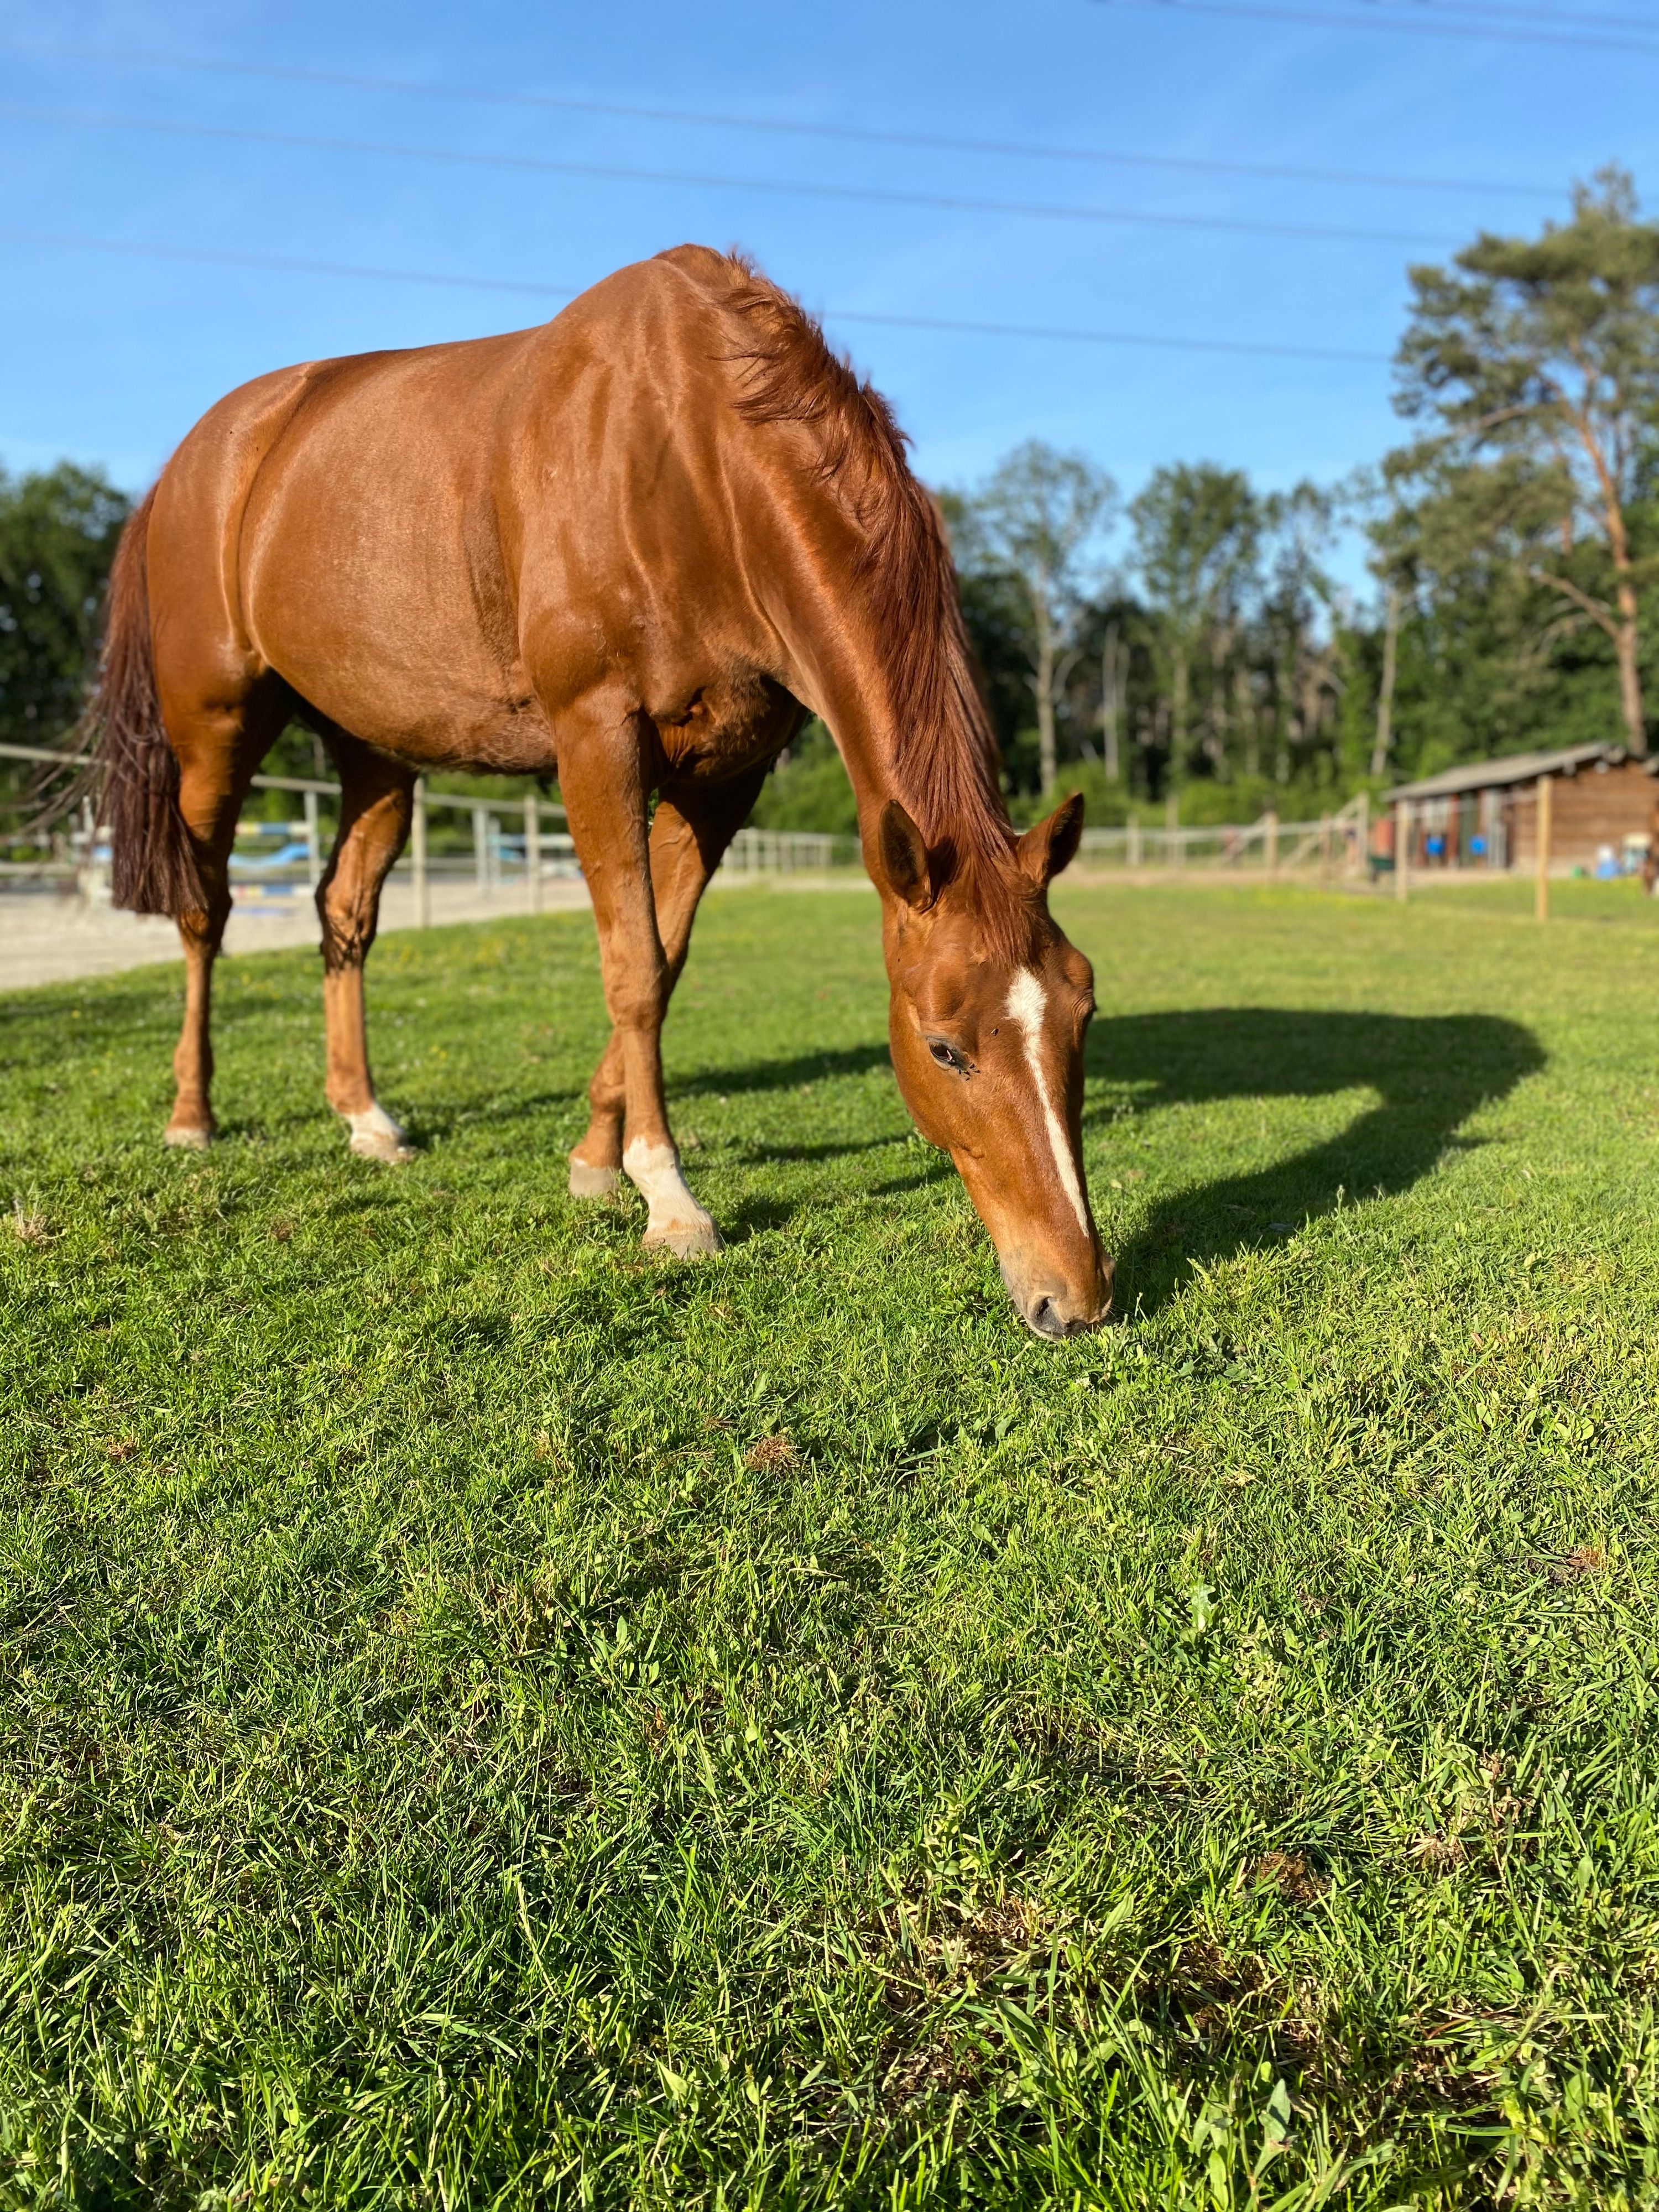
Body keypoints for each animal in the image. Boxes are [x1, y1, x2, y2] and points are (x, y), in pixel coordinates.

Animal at [85, 245, 1112, 1338]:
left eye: (1082, 1010)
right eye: (944, 1047)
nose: (1076, 1296)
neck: (696, 462)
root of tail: (197, 458)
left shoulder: (724, 777)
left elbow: (666, 960)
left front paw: (594, 1159)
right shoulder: (597, 741)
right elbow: (633, 967)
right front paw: (668, 1200)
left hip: (373, 752)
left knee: (344, 913)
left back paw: (366, 1118)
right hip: (215, 733)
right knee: (205, 908)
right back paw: (192, 1116)